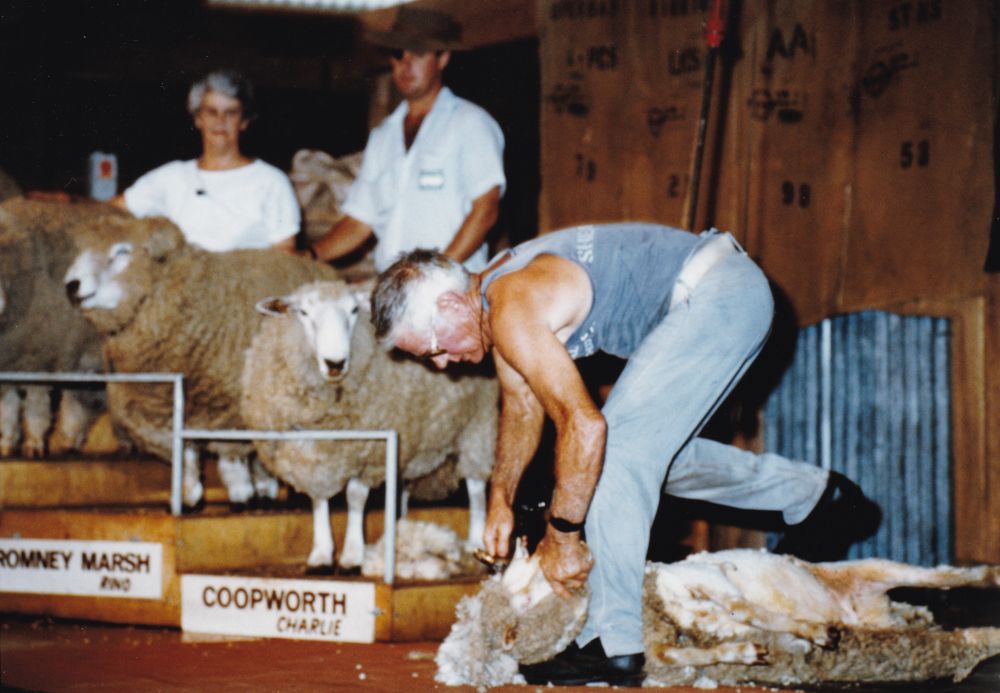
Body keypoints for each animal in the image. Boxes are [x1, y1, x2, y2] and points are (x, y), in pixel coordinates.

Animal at [0, 198, 116, 458]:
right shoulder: (11, 363)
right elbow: (8, 408)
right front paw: (7, 443)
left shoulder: (39, 358)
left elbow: (35, 406)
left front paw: (34, 444)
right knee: (80, 401)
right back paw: (70, 442)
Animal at [62, 214, 340, 508]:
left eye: (122, 251)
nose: (71, 285)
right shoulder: (163, 408)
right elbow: (185, 453)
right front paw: (191, 493)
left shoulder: (232, 406)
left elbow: (231, 455)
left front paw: (241, 493)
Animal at [240, 279, 498, 573]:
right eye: (303, 313)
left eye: (354, 310)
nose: (335, 364)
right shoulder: (310, 454)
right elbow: (318, 500)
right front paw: (321, 554)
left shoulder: (370, 452)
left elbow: (355, 498)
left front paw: (353, 555)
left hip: (478, 427)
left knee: (476, 488)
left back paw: (475, 540)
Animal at [436, 546, 1000, 689]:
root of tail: (870, 606)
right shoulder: (669, 649)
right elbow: (722, 638)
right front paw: (753, 650)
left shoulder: (709, 582)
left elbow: (746, 609)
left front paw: (811, 632)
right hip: (883, 614)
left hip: (880, 568)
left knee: (951, 577)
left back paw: (988, 573)